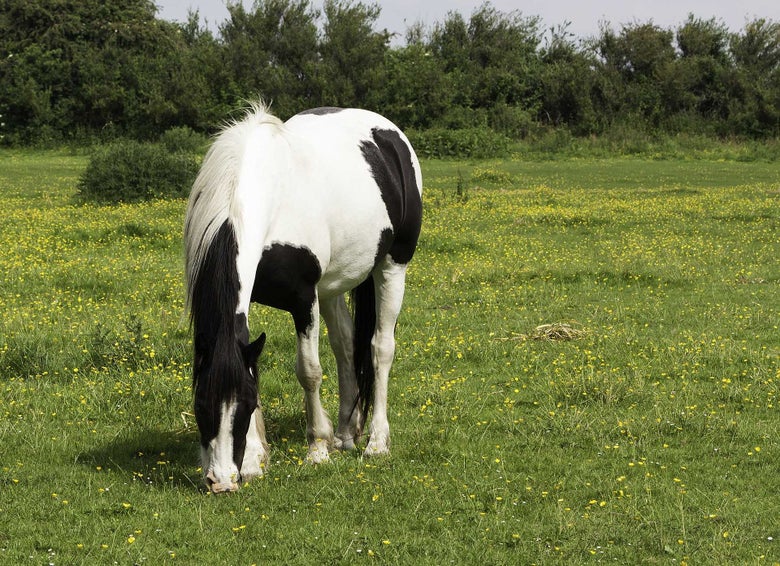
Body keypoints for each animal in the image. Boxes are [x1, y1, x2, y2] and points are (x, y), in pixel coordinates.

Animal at [184, 103, 423, 493]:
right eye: (201, 404)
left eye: (244, 405)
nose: (220, 481)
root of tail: (390, 135)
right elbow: (251, 361)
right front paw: (254, 459)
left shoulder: (303, 298)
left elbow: (309, 371)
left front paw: (317, 448)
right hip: (333, 285)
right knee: (345, 346)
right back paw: (346, 433)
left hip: (392, 266)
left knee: (380, 348)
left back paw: (375, 442)